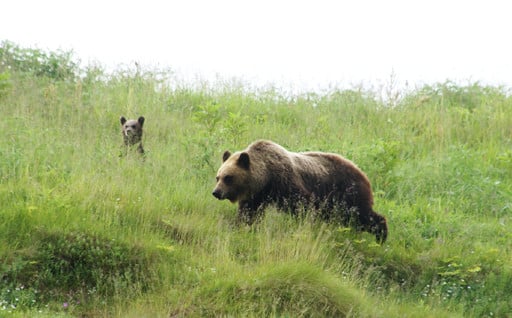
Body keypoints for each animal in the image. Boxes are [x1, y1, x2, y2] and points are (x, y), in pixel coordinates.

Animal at [212, 140, 388, 243]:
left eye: (228, 177)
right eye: (217, 177)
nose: (216, 192)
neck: (266, 178)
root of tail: (363, 173)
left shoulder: (286, 184)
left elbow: (303, 205)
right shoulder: (256, 196)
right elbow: (248, 214)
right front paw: (243, 227)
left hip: (348, 193)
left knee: (362, 215)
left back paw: (381, 235)